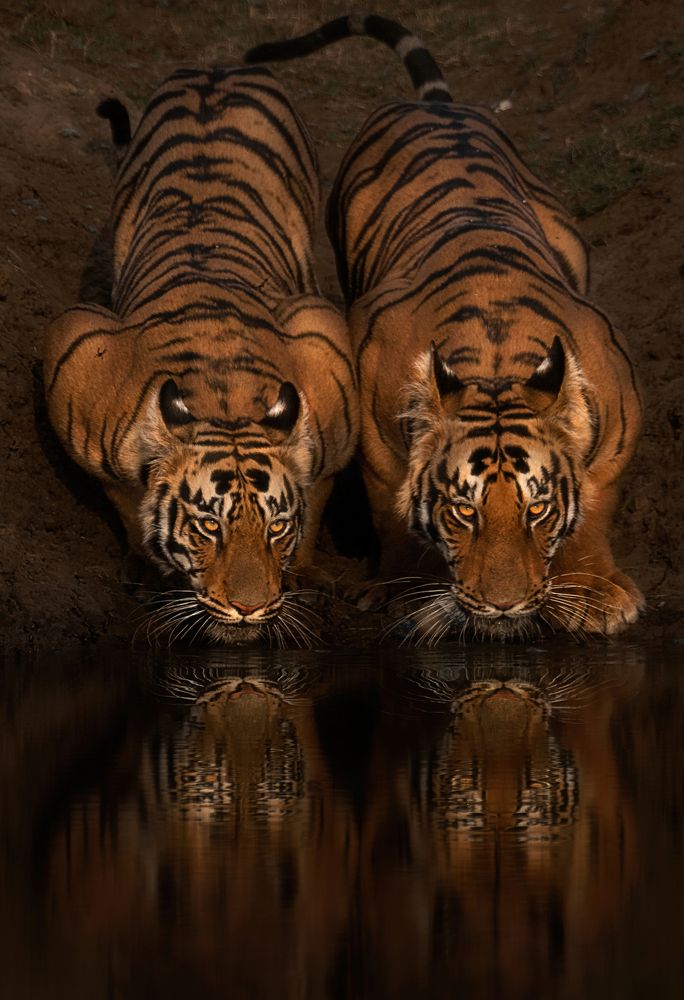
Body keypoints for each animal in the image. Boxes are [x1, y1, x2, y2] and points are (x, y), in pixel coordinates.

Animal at [43, 66, 358, 645]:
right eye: (209, 525)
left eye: (276, 527)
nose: (250, 608)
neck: (224, 397)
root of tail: (218, 70)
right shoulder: (74, 350)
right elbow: (124, 496)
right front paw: (146, 566)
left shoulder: (326, 350)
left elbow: (317, 488)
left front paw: (303, 572)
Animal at [245, 14, 644, 639]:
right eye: (464, 511)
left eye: (537, 509)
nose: (505, 604)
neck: (498, 355)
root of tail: (435, 105)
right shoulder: (378, 428)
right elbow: (393, 513)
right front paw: (401, 591)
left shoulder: (616, 427)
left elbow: (594, 508)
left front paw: (596, 593)